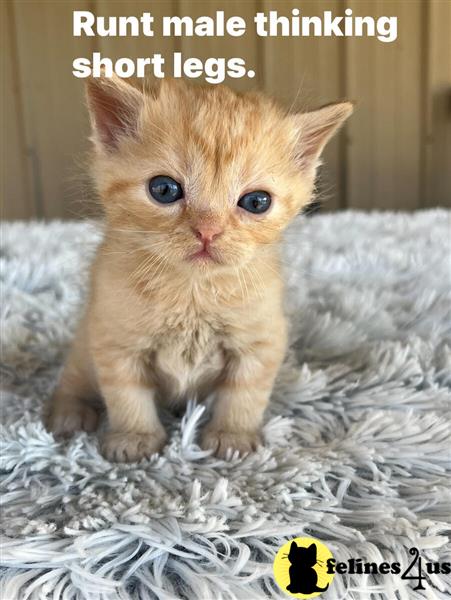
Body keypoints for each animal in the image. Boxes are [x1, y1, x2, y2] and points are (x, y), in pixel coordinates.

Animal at [45, 74, 354, 460]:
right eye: (164, 189)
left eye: (257, 202)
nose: (208, 231)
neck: (193, 292)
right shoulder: (114, 340)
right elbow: (127, 395)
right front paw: (135, 437)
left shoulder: (261, 341)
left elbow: (245, 394)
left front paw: (232, 436)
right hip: (84, 344)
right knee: (72, 378)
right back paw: (69, 413)